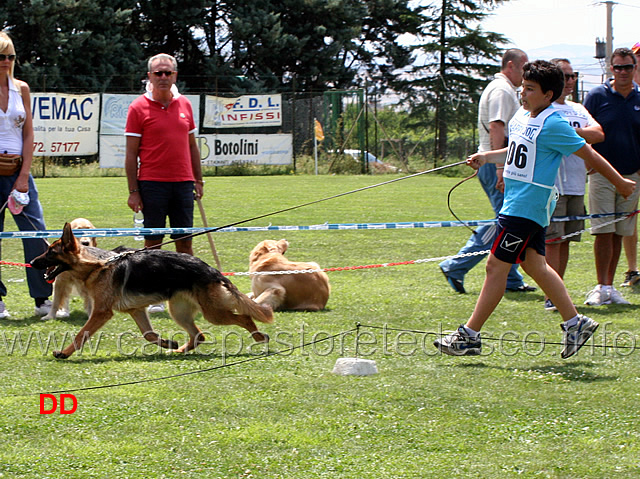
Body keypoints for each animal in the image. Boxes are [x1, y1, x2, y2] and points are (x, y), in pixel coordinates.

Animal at [32, 225, 272, 360]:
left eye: (50, 252)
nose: (33, 262)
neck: (98, 264)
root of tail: (212, 271)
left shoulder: (101, 312)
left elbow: (81, 334)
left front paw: (64, 353)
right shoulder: (136, 310)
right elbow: (148, 334)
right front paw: (167, 343)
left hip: (213, 313)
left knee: (244, 317)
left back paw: (260, 337)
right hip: (179, 312)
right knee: (199, 335)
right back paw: (178, 351)